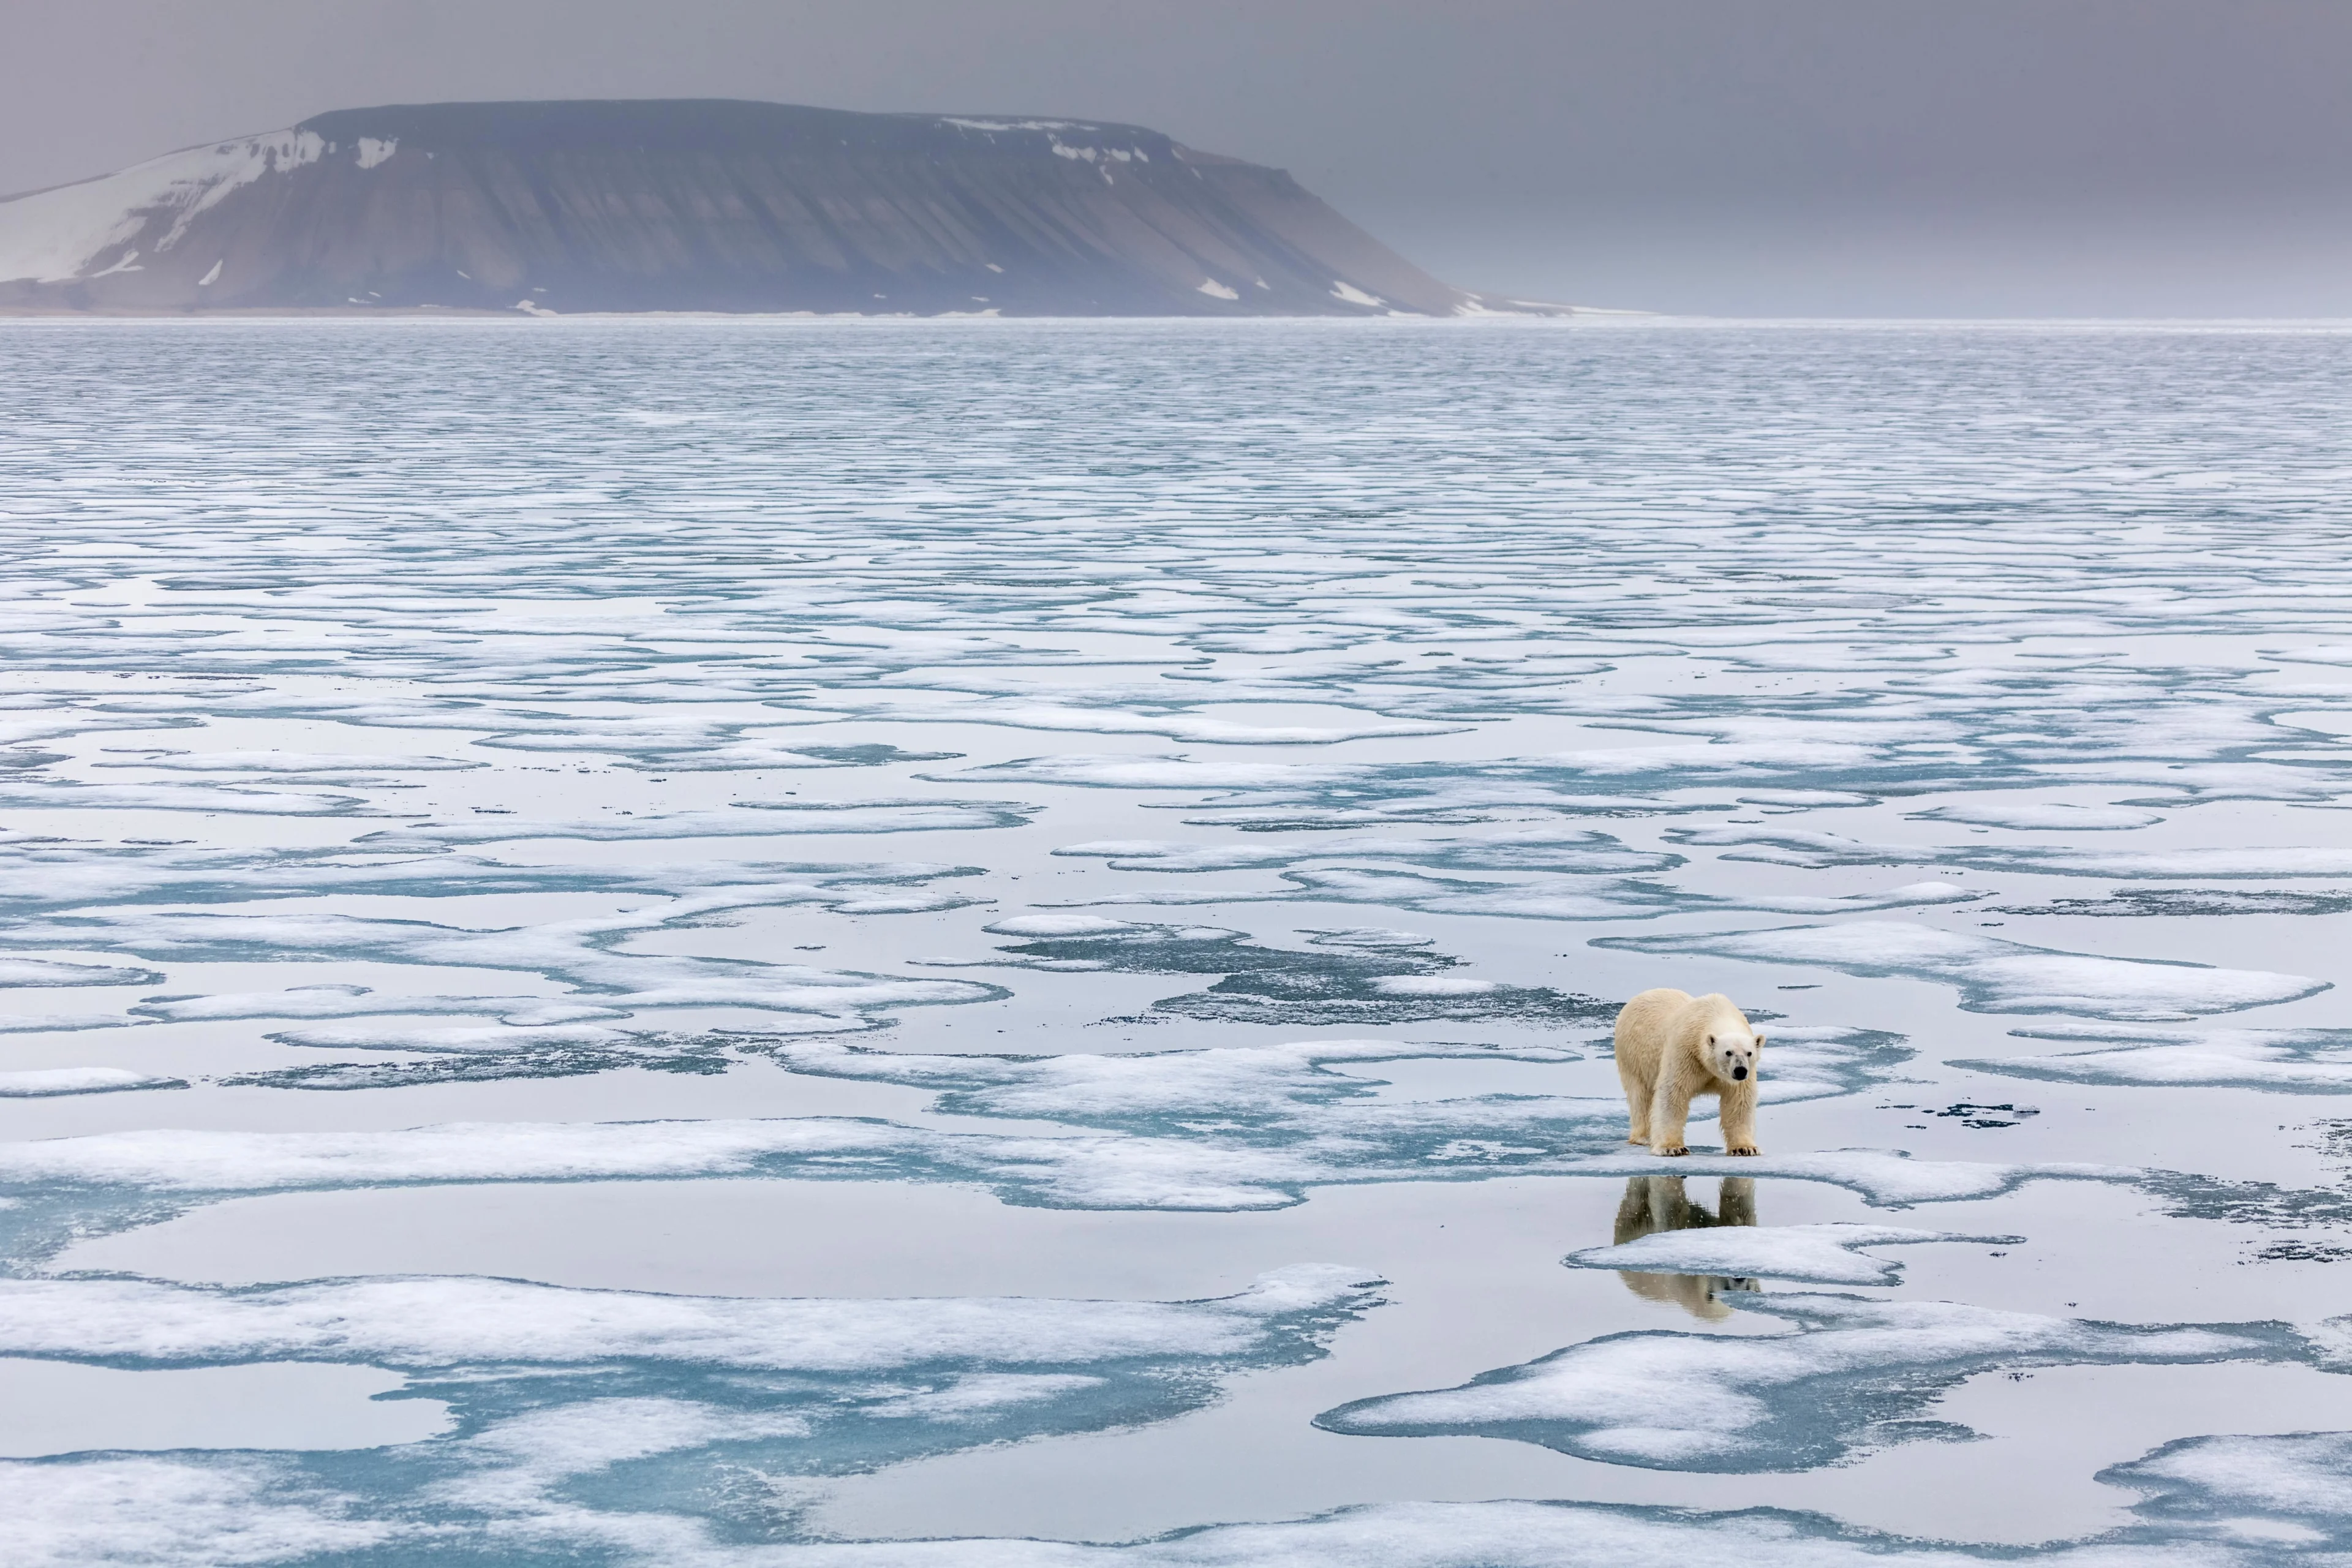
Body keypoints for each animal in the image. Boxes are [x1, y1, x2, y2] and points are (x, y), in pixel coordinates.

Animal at [1618, 987, 1768, 1161]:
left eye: (1749, 1053)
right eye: (1728, 1052)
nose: (1740, 1070)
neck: (1715, 1014)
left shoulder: (1739, 1078)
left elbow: (1739, 1100)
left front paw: (1745, 1148)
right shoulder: (1685, 1053)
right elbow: (1673, 1093)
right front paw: (1672, 1148)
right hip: (1633, 1055)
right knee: (1640, 1095)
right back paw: (1644, 1137)